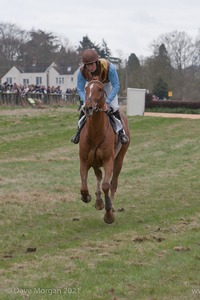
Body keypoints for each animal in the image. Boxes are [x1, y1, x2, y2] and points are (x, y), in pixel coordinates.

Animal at [78, 79, 130, 223]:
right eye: (86, 88)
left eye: (100, 89)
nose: (88, 107)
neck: (95, 133)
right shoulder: (84, 160)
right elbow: (83, 187)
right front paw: (88, 197)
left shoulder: (108, 160)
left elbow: (106, 185)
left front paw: (108, 215)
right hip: (95, 161)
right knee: (98, 175)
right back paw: (98, 200)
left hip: (119, 158)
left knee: (113, 183)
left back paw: (109, 205)